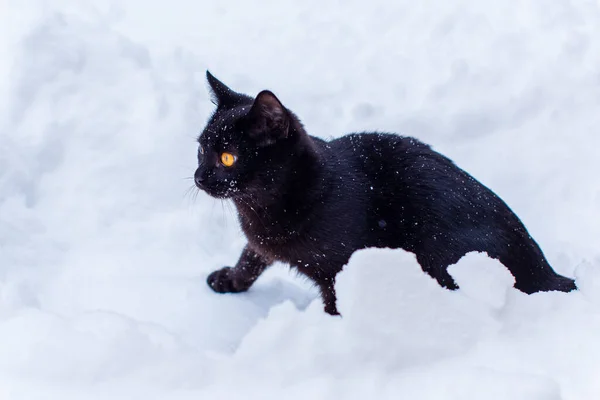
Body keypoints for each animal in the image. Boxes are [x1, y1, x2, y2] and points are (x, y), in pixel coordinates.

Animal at [196, 72, 576, 316]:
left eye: (228, 158)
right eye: (200, 150)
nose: (199, 177)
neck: (261, 207)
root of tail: (546, 270)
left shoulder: (339, 268)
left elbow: (335, 303)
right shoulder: (261, 241)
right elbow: (251, 256)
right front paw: (230, 279)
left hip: (442, 254)